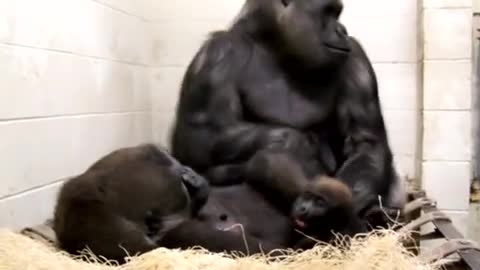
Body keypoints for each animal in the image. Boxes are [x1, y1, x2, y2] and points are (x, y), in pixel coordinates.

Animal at [172, 0, 404, 221]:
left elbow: (366, 141)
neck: (277, 47)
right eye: (328, 12)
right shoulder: (216, 56)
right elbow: (199, 137)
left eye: (337, 13)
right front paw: (300, 143)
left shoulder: (355, 57)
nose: (342, 29)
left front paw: (338, 210)